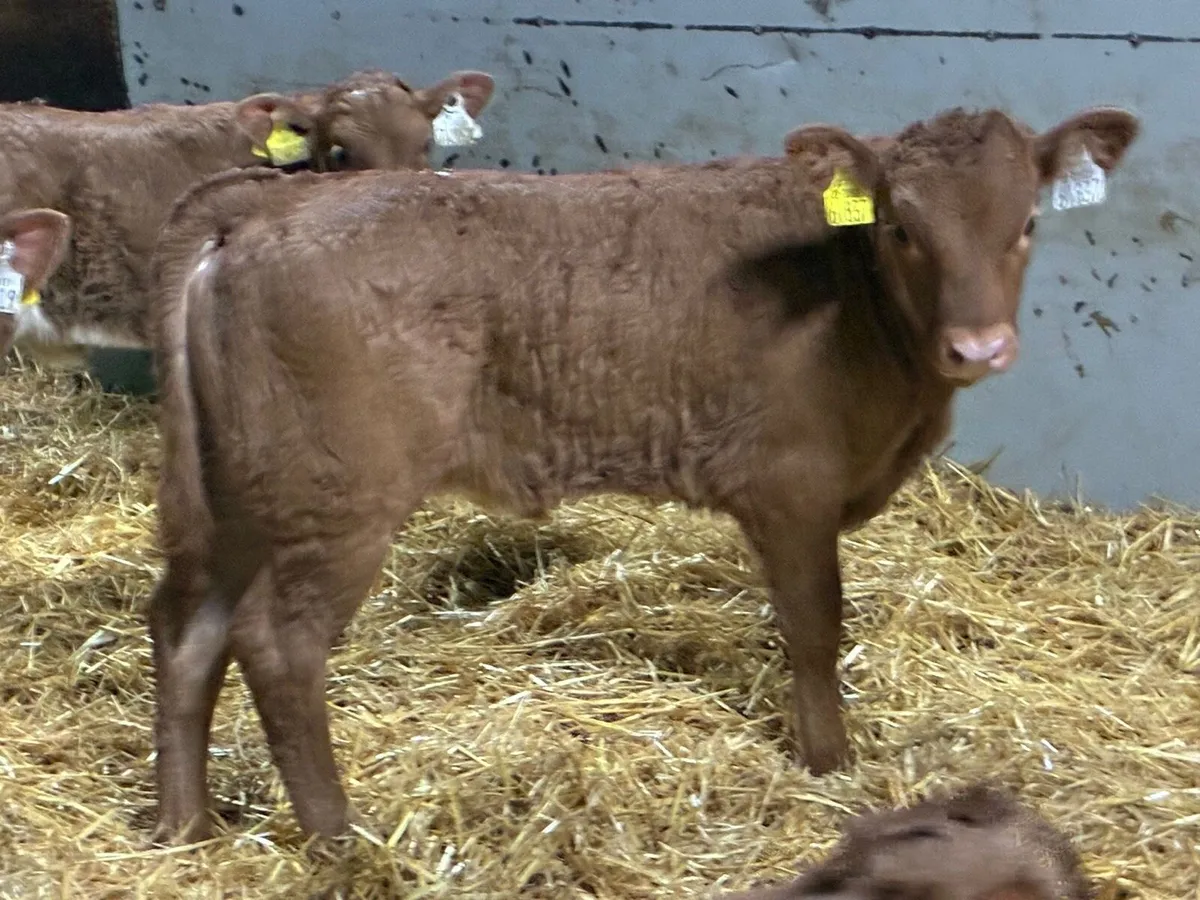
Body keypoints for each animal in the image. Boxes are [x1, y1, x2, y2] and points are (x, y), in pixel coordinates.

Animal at [145, 103, 1138, 841]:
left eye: (1028, 222)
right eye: (900, 226)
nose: (980, 346)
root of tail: (260, 212)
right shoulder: (791, 484)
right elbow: (815, 628)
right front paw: (829, 763)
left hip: (242, 497)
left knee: (187, 629)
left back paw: (185, 825)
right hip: (336, 501)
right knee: (278, 644)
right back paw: (337, 838)